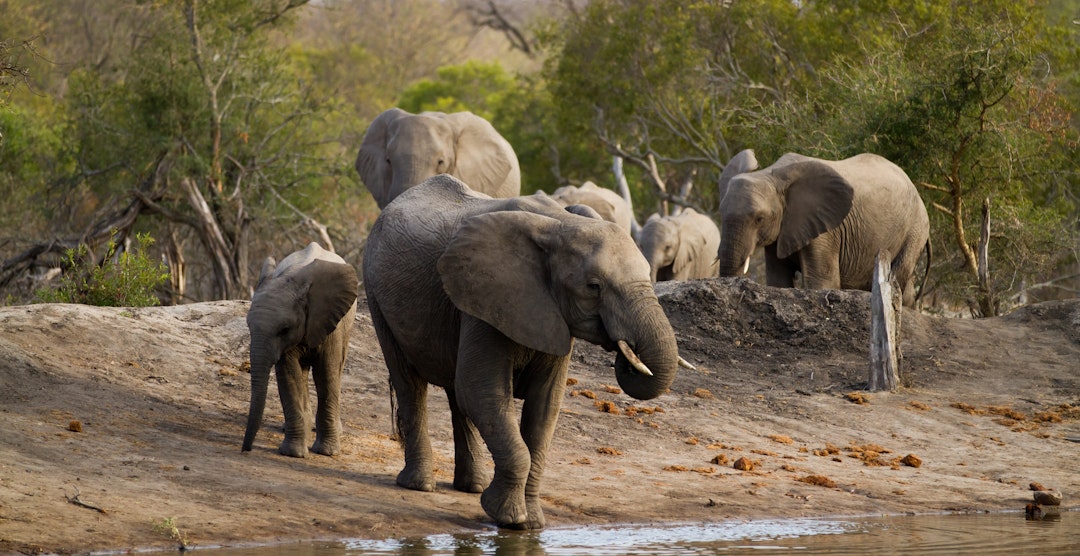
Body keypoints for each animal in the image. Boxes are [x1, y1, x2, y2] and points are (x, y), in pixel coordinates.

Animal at [240, 242, 358, 457]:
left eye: (284, 329)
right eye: (249, 327)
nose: (246, 449)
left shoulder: (330, 323)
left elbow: (326, 374)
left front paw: (326, 452)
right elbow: (289, 375)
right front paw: (293, 453)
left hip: (347, 325)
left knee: (337, 367)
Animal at [367, 174, 678, 531]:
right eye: (593, 287)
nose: (626, 352)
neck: (561, 224)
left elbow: (544, 407)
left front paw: (531, 525)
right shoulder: (487, 296)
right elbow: (483, 391)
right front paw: (510, 519)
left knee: (456, 394)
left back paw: (471, 487)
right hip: (376, 292)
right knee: (411, 384)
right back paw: (419, 485)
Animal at [717, 150, 928, 306]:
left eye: (759, 219)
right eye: (721, 213)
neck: (772, 174)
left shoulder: (825, 229)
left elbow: (821, 281)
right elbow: (778, 280)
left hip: (916, 229)